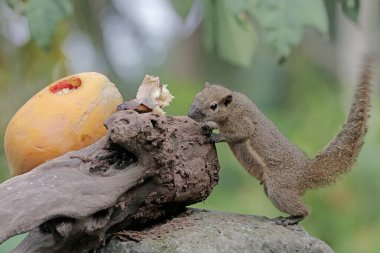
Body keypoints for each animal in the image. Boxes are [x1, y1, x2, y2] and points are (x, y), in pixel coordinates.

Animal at [189, 59, 372, 225]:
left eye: (213, 106)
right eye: (196, 96)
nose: (190, 114)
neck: (233, 107)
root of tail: (305, 172)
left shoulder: (242, 122)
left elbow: (237, 133)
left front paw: (213, 136)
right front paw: (208, 126)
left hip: (278, 190)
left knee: (304, 210)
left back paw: (291, 219)